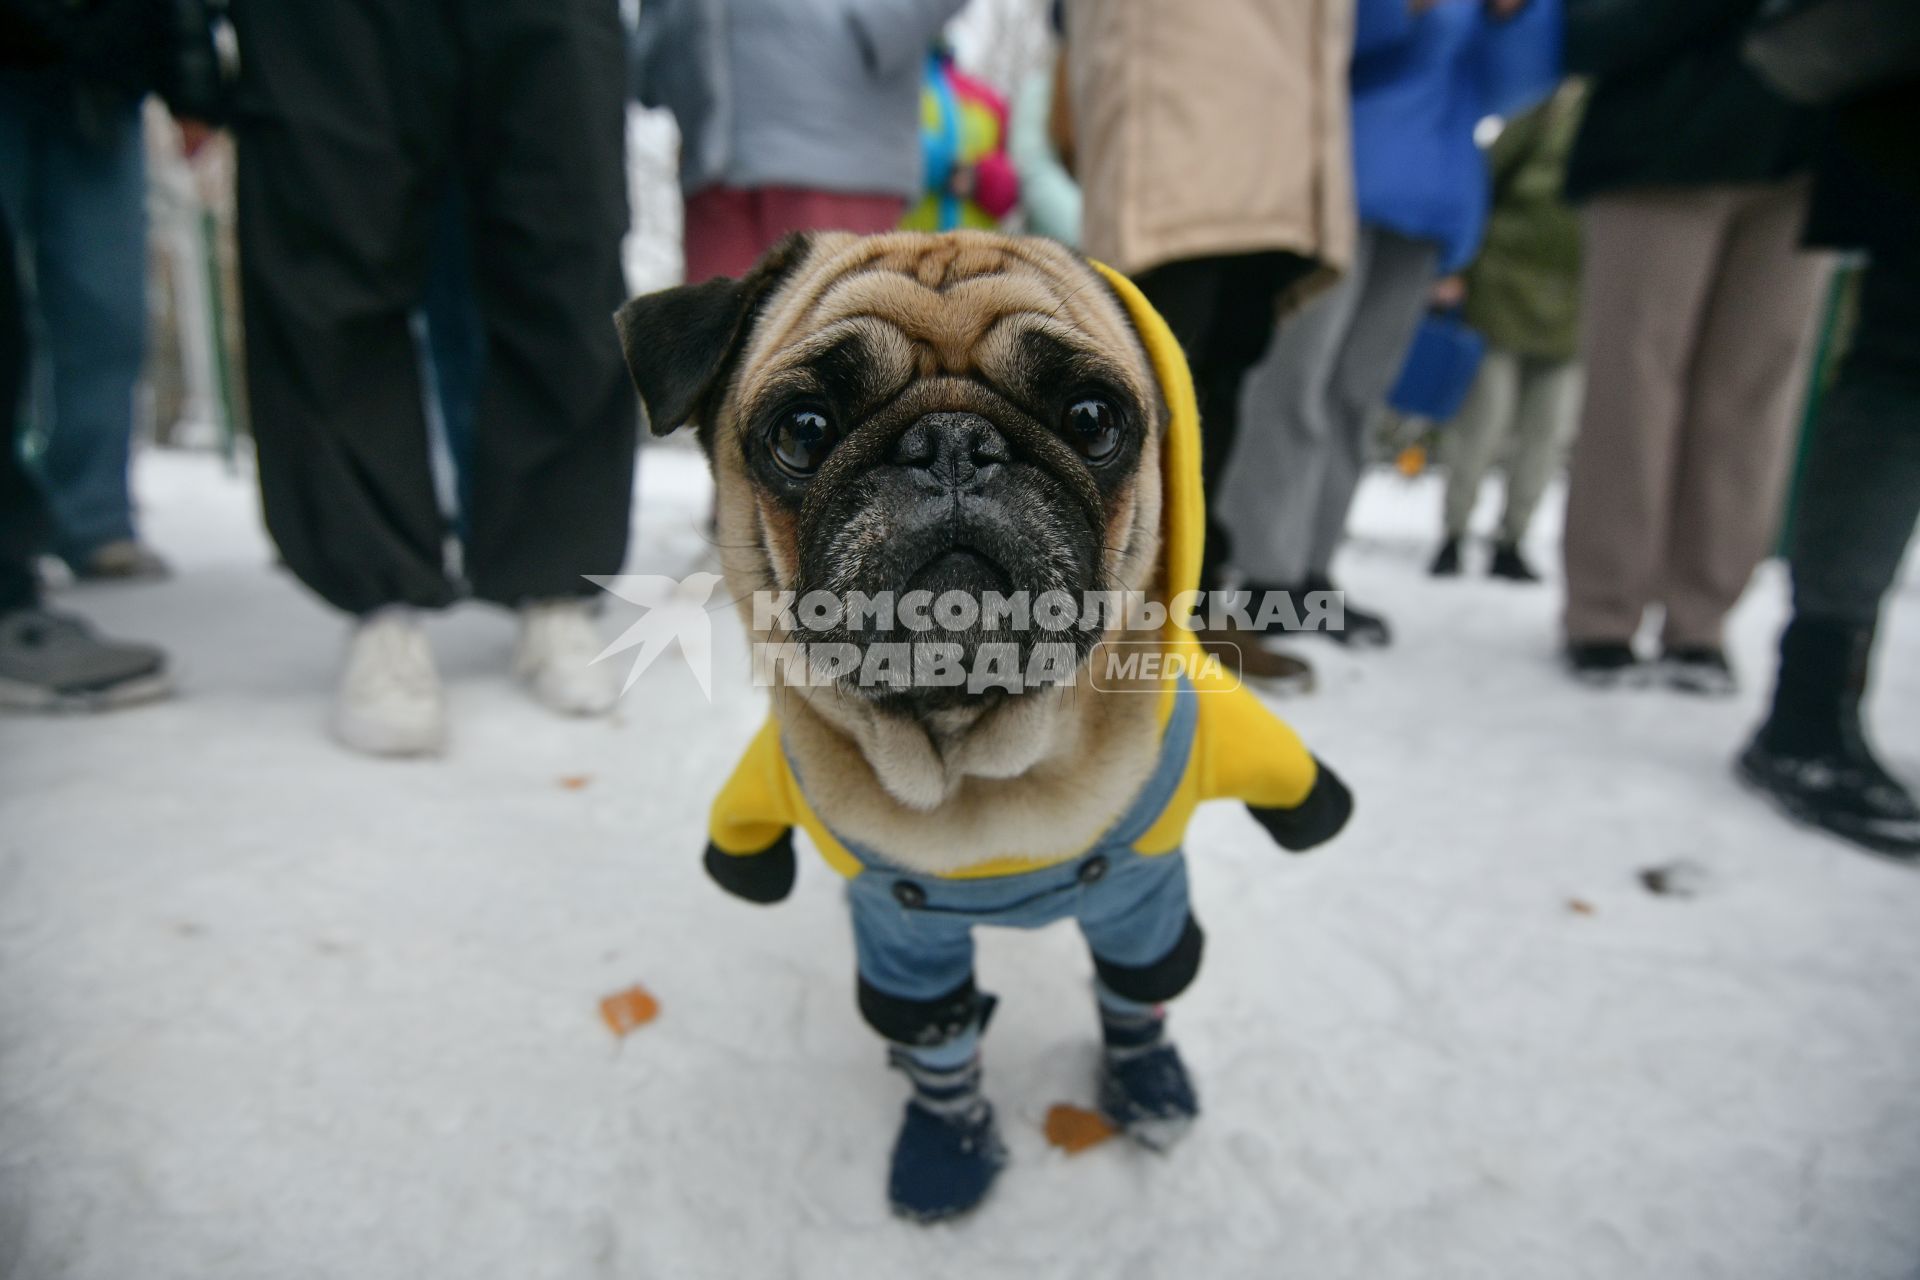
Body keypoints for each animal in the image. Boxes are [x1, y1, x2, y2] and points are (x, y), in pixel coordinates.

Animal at [614, 230, 1351, 1220]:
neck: (981, 761)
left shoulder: (1142, 889)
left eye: (1093, 418)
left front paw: (1148, 1095)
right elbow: (941, 1041)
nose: (952, 444)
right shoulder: (902, 927)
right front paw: (947, 1151)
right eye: (802, 431)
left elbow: (1139, 991)